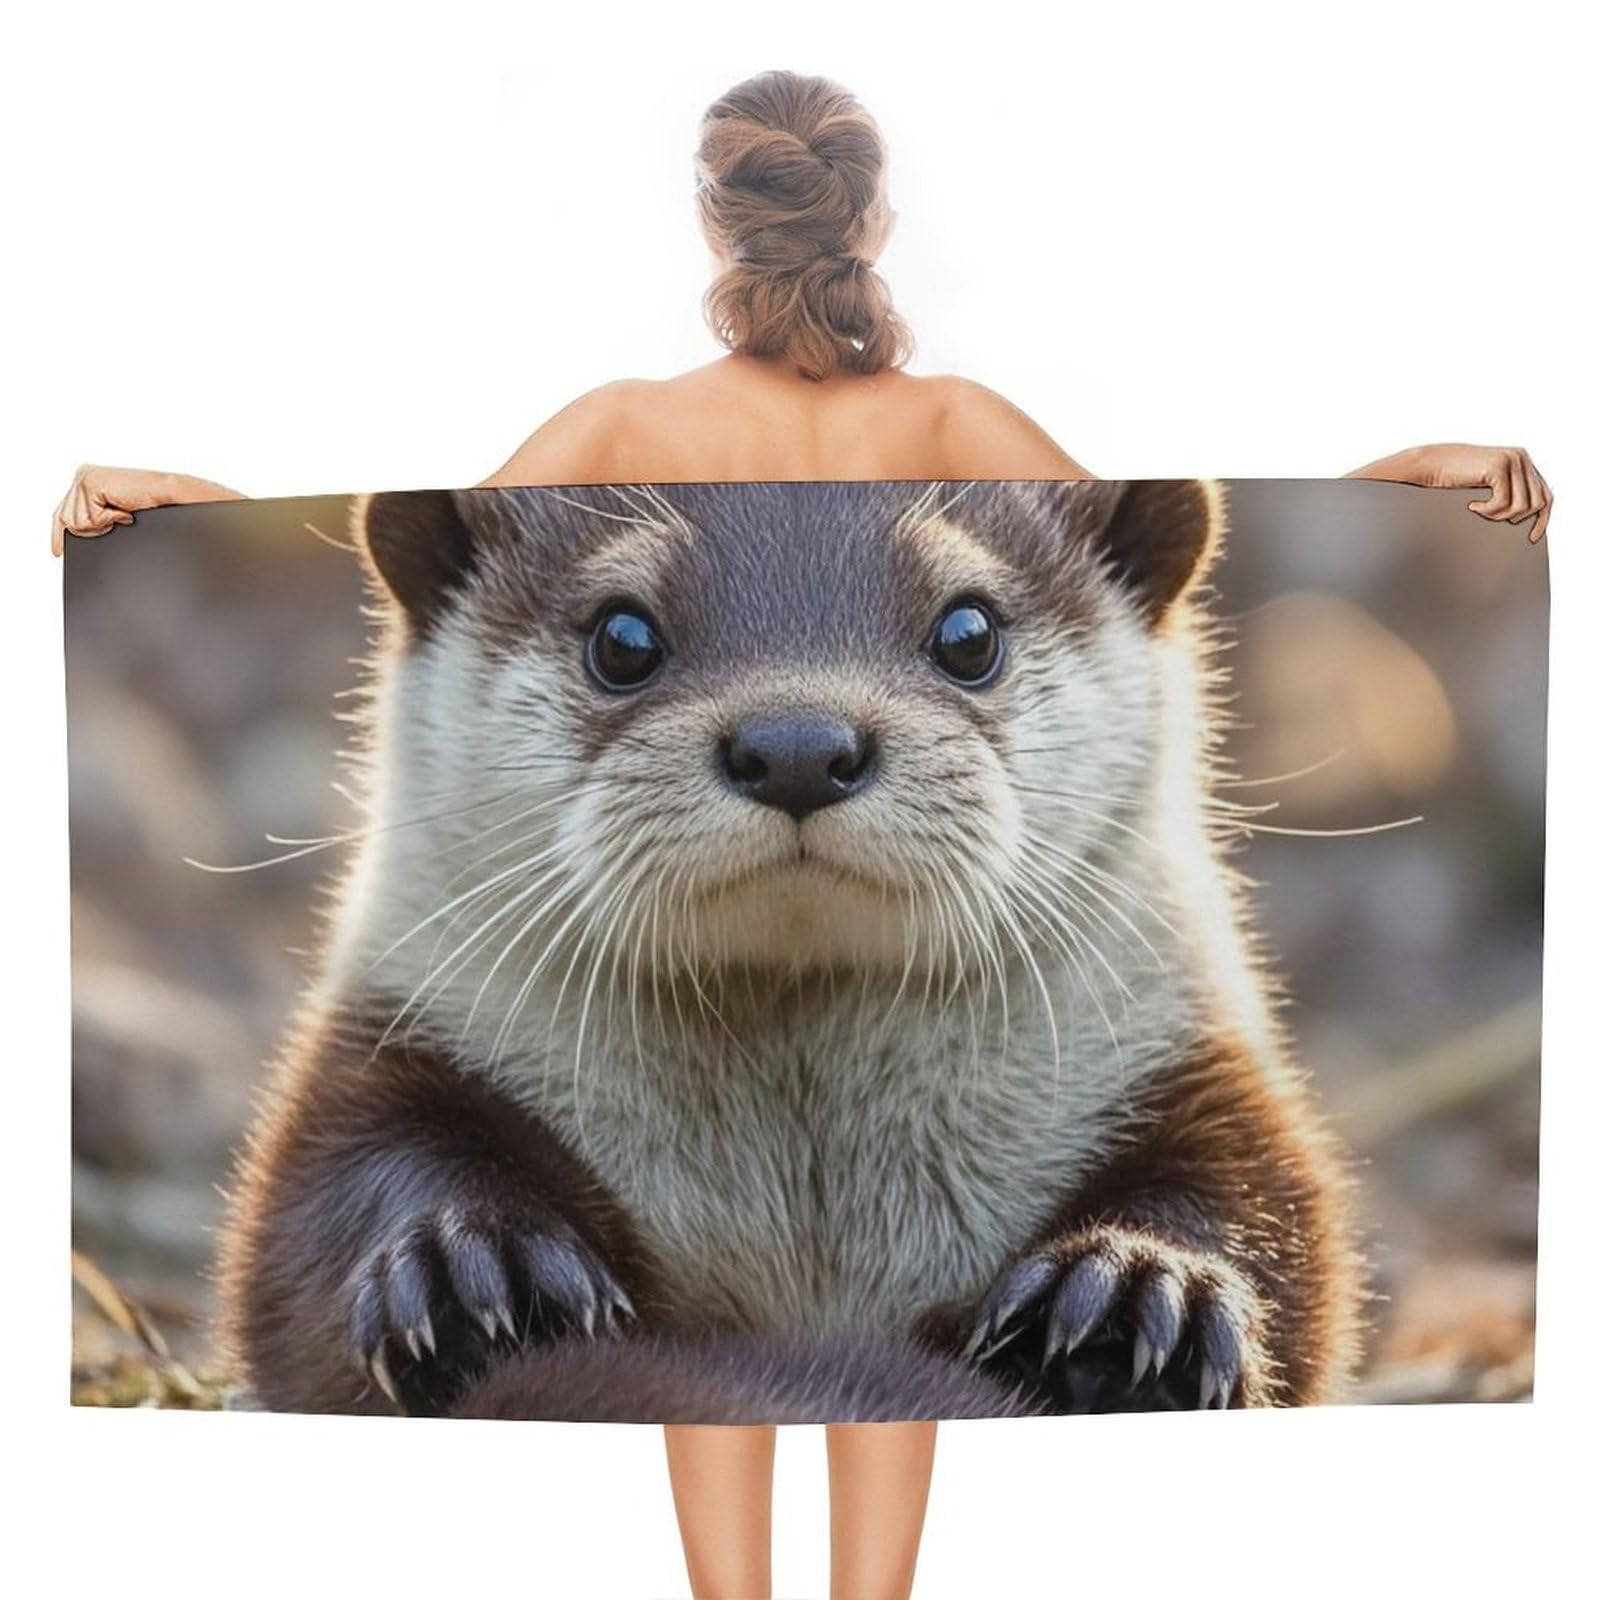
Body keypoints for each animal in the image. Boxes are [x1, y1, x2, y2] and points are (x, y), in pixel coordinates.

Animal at [217, 479, 1361, 1420]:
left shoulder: (1187, 1067)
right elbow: (317, 1222)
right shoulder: (382, 1050)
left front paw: (1136, 1290)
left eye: (969, 631)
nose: (799, 744)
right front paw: (469, 1267)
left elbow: (1263, 1212)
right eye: (622, 637)